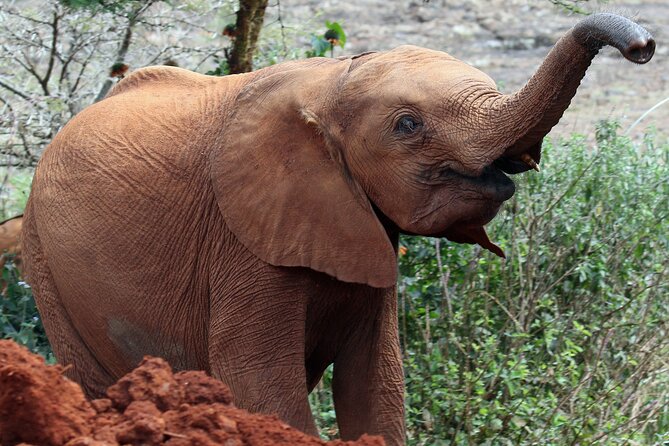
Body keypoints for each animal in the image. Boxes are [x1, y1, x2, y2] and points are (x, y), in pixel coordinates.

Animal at [22, 13, 653, 446]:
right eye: (407, 125)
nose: (644, 46)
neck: (333, 83)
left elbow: (377, 382)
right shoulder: (243, 237)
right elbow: (259, 381)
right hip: (44, 264)